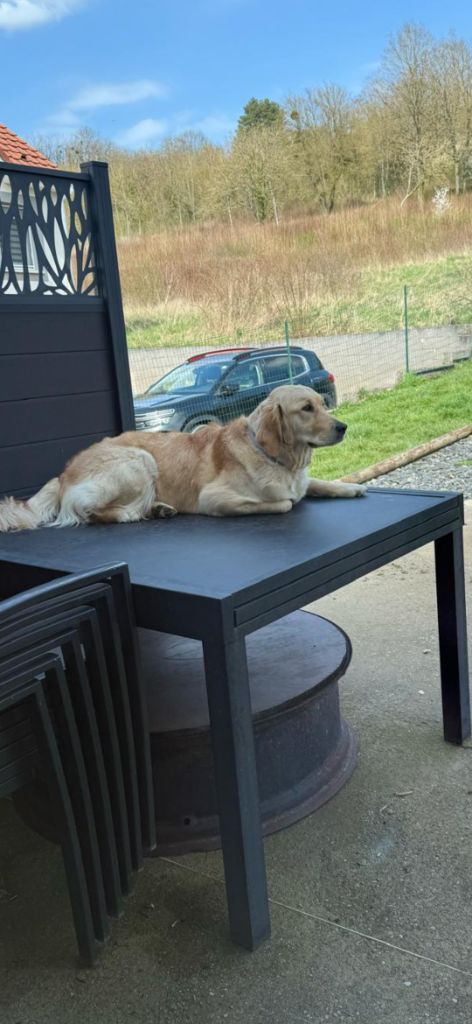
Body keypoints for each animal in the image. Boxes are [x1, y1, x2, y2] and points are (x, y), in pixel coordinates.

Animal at [0, 385, 365, 532]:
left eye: (322, 403)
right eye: (306, 408)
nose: (344, 426)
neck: (278, 458)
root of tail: (63, 474)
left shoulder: (301, 480)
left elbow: (316, 484)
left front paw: (350, 488)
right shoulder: (214, 499)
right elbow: (285, 503)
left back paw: (157, 509)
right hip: (139, 460)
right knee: (87, 512)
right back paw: (132, 514)